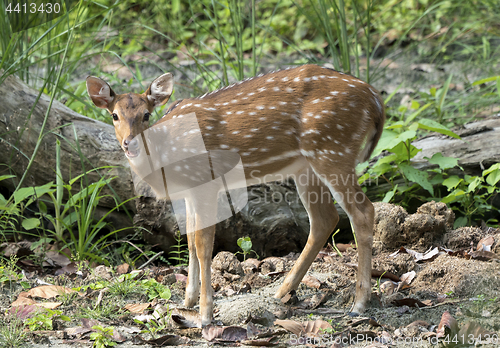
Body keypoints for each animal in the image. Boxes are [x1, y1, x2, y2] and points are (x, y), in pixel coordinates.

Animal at [86, 64, 384, 326]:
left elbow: (204, 245)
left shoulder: (205, 182)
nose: (130, 143)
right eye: (114, 115)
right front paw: (187, 301)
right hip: (307, 166)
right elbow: (190, 242)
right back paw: (281, 292)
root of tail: (375, 98)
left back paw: (359, 304)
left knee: (363, 211)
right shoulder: (190, 191)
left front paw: (205, 315)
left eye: (147, 115)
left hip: (333, 149)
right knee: (325, 219)